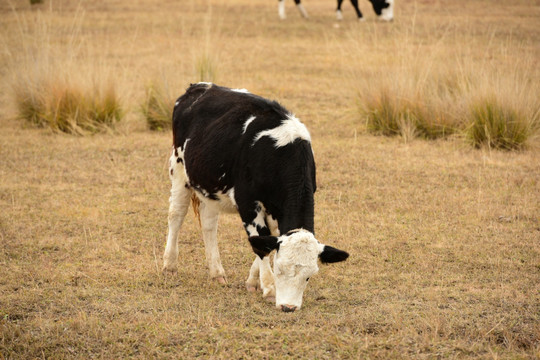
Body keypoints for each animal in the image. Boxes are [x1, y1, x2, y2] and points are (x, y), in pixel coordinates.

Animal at [163, 83, 350, 310]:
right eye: (279, 269)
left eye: (308, 276)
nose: (288, 307)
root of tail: (200, 86)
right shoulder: (248, 203)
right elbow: (260, 241)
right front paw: (269, 288)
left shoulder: (277, 210)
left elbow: (267, 240)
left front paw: (253, 281)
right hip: (179, 169)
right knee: (176, 215)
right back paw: (169, 265)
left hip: (209, 185)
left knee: (209, 224)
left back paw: (217, 273)